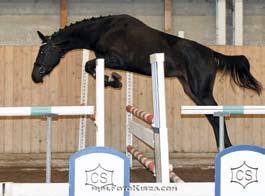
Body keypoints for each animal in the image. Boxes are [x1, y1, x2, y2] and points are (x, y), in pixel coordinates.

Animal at [32, 14, 260, 149]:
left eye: (43, 51)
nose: (35, 76)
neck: (103, 30)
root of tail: (212, 54)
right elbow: (91, 68)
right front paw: (112, 80)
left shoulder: (116, 59)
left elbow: (89, 66)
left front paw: (113, 80)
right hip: (192, 92)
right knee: (212, 117)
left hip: (202, 92)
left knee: (217, 115)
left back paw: (227, 148)